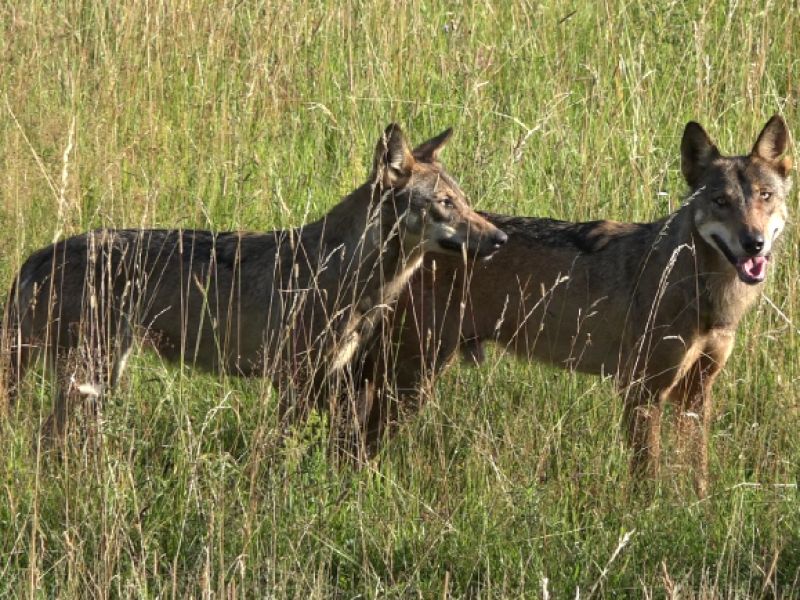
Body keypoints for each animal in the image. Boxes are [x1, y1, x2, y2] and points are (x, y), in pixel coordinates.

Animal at [3, 124, 510, 438]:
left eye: (466, 201)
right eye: (445, 203)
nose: (501, 239)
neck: (349, 274)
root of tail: (38, 256)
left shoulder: (327, 380)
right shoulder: (294, 382)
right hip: (93, 373)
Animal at [354, 115, 788, 494]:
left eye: (765, 197)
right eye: (721, 201)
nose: (753, 244)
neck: (707, 293)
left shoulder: (697, 393)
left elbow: (697, 470)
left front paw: (696, 510)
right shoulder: (642, 391)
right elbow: (645, 476)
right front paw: (649, 516)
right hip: (410, 382)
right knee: (357, 446)